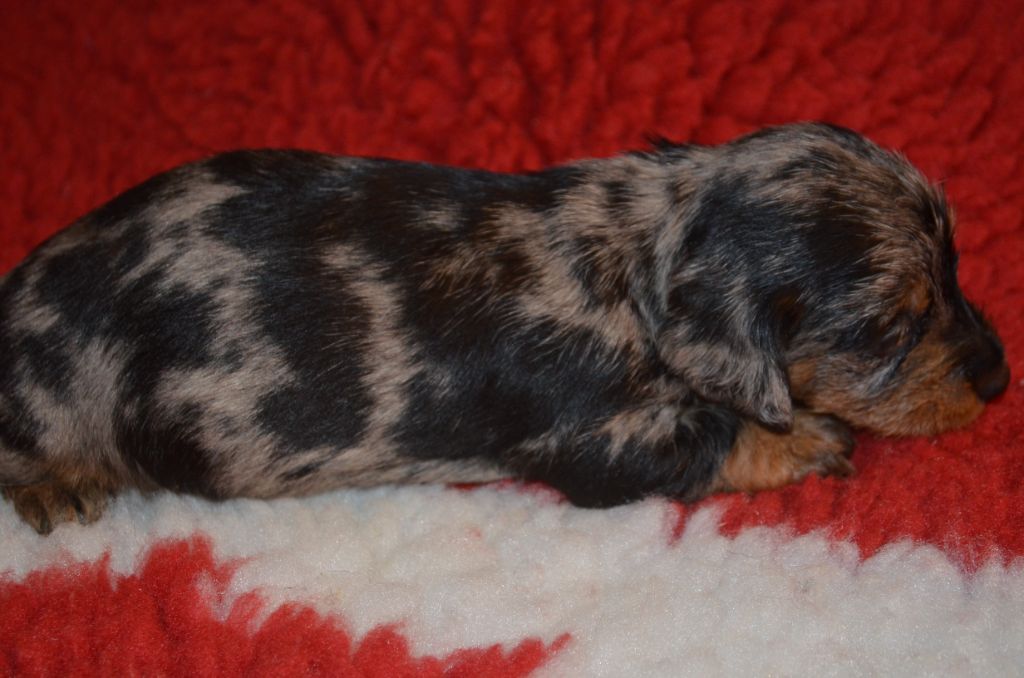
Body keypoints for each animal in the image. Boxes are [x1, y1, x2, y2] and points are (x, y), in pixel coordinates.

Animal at [0, 122, 1009, 534]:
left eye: (956, 271)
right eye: (888, 327)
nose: (1001, 378)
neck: (641, 256)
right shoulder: (596, 439)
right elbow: (715, 436)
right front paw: (804, 437)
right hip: (51, 392)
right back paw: (58, 486)